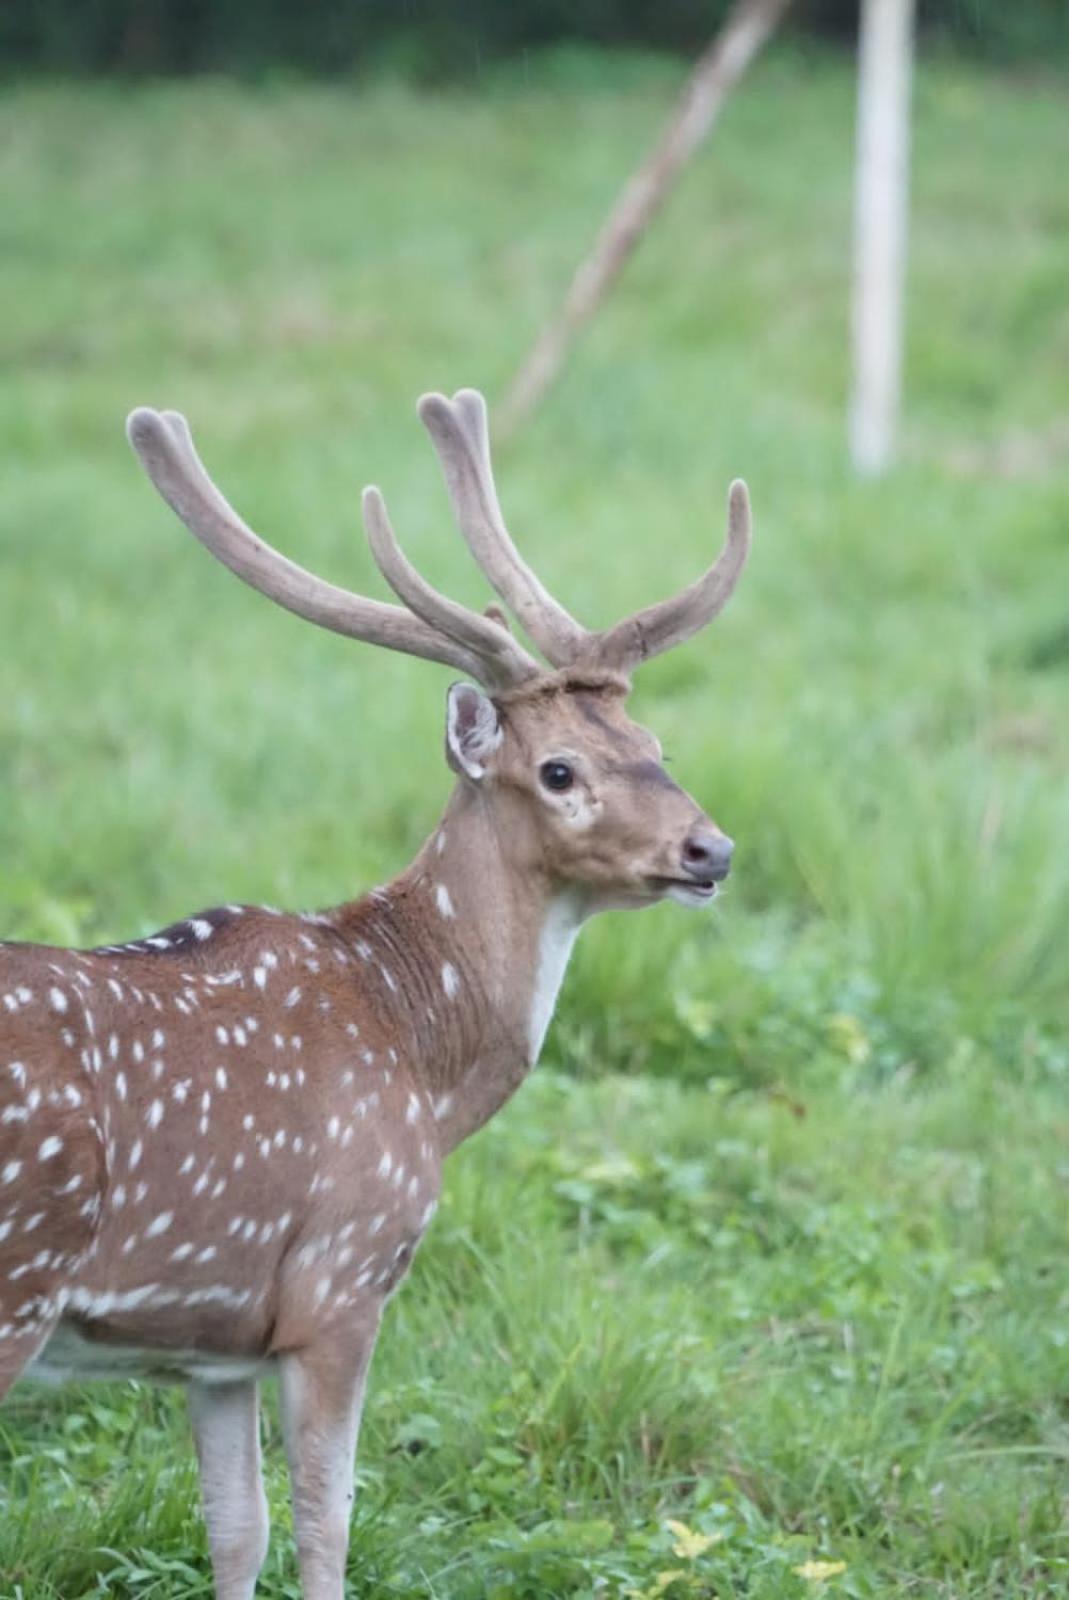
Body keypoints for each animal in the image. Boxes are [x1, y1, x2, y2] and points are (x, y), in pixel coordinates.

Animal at [0, 387, 752, 1600]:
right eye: (558, 770)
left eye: (652, 742)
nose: (710, 849)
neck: (421, 1059)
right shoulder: (340, 1283)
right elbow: (326, 1520)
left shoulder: (212, 1342)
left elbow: (237, 1527)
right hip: (18, 1274)